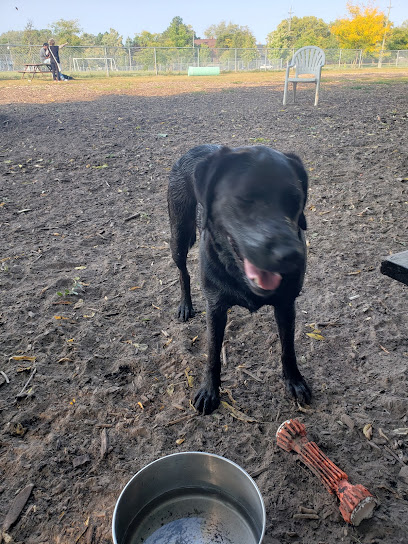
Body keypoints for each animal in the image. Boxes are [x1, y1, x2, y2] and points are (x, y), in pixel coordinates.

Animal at [167, 144, 310, 416]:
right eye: (245, 198)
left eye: (295, 200)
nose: (292, 255)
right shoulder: (215, 307)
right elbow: (212, 353)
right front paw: (209, 391)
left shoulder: (286, 305)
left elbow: (288, 349)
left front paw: (295, 381)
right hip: (178, 235)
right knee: (182, 272)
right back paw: (184, 305)